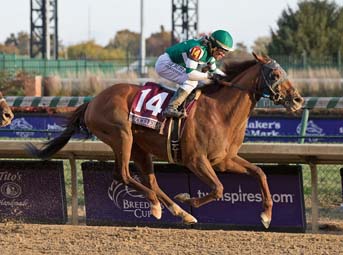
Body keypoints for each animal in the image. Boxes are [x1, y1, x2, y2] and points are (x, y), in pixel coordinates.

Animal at [28, 52, 306, 228]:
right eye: (275, 73)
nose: (298, 99)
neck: (220, 110)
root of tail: (93, 100)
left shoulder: (223, 160)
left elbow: (259, 172)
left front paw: (266, 215)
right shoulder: (196, 160)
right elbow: (218, 189)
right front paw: (188, 199)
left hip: (140, 148)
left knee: (150, 180)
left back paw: (178, 212)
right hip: (121, 136)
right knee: (123, 174)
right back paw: (160, 206)